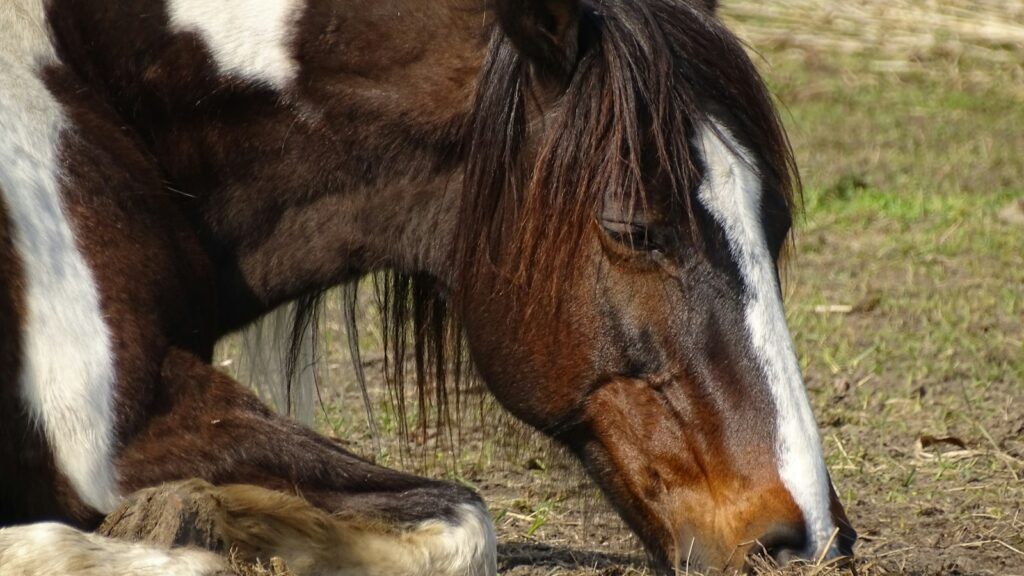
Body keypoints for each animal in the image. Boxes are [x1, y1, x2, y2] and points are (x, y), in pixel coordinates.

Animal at [0, 0, 857, 573]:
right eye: (636, 229)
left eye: (776, 223)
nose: (808, 540)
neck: (93, 93)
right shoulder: (122, 424)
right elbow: (466, 520)